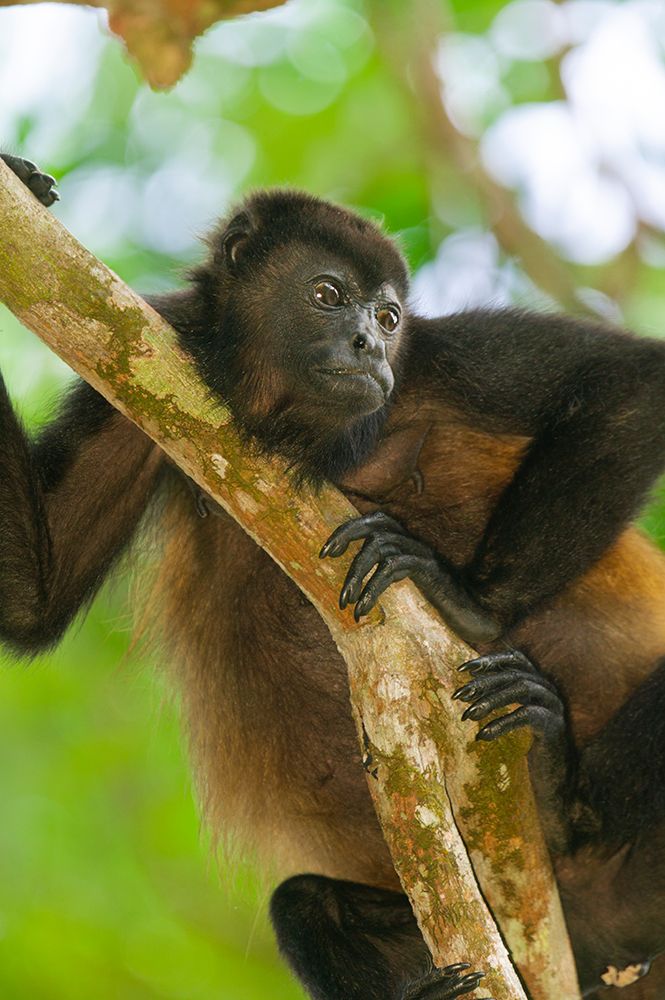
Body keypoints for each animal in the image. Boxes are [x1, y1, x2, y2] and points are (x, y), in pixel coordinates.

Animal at [2, 153, 665, 999]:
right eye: (327, 294)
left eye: (387, 318)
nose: (366, 346)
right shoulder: (134, 367)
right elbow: (31, 597)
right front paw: (19, 180)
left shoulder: (445, 357)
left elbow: (631, 381)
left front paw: (463, 600)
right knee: (301, 905)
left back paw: (558, 794)